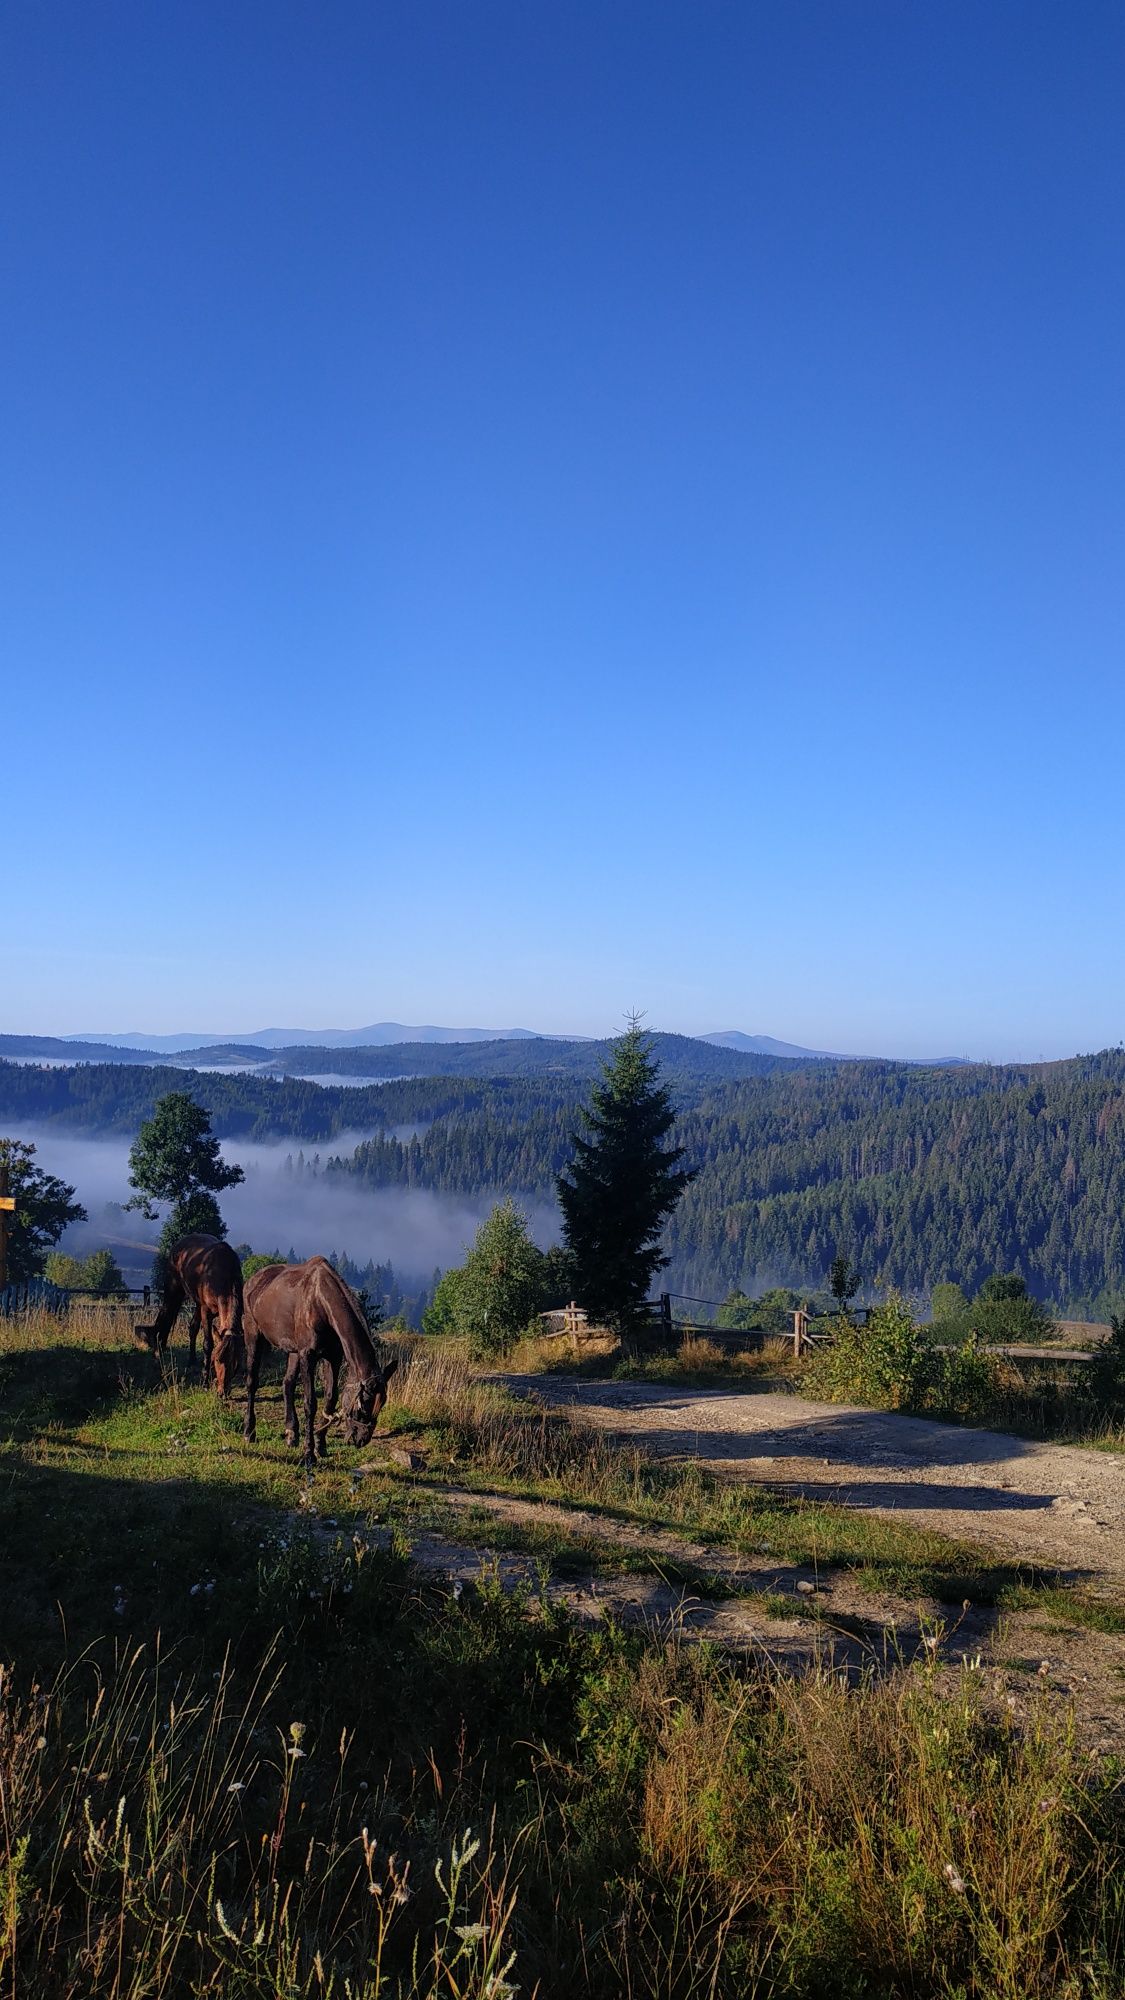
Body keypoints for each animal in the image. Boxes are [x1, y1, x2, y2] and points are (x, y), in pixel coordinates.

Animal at [135, 1232, 243, 1392]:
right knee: (166, 1317)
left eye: (236, 1364)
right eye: (218, 1359)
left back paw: (191, 1360)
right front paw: (205, 1381)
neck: (222, 1274)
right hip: (174, 1290)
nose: (223, 1392)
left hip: (196, 1302)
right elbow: (208, 1344)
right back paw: (159, 1352)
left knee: (192, 1327)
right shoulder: (206, 1311)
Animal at [243, 1264, 396, 1472]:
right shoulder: (308, 1356)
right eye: (363, 1404)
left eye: (382, 1404)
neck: (321, 1303)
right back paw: (249, 1431)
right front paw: (309, 1453)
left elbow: (331, 1399)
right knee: (252, 1382)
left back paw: (291, 1432)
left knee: (287, 1384)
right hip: (253, 1335)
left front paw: (320, 1444)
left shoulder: (333, 1357)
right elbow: (310, 1403)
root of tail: (252, 1280)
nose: (361, 1439)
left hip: (293, 1350)